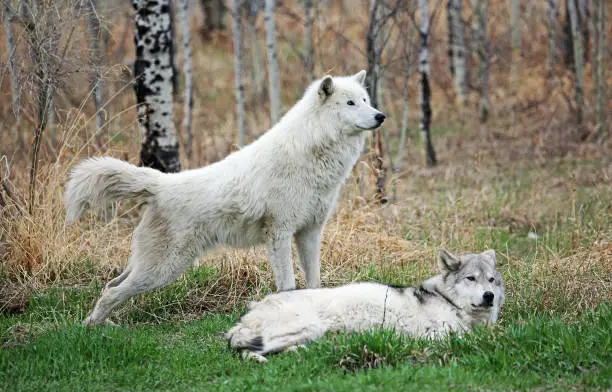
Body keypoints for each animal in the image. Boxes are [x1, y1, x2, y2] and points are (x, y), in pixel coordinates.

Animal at [64, 69, 384, 324]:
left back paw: (100, 325)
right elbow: (289, 286)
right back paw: (92, 328)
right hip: (163, 269)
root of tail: (162, 182)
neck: (312, 151)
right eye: (350, 103)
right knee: (112, 292)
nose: (381, 116)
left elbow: (314, 282)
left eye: (365, 100)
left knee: (110, 285)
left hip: (149, 266)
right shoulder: (279, 234)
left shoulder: (310, 232)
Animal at [227, 250, 504, 362]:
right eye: (471, 279)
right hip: (308, 328)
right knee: (243, 349)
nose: (489, 296)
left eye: (491, 280)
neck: (446, 300)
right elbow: (466, 339)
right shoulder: (437, 336)